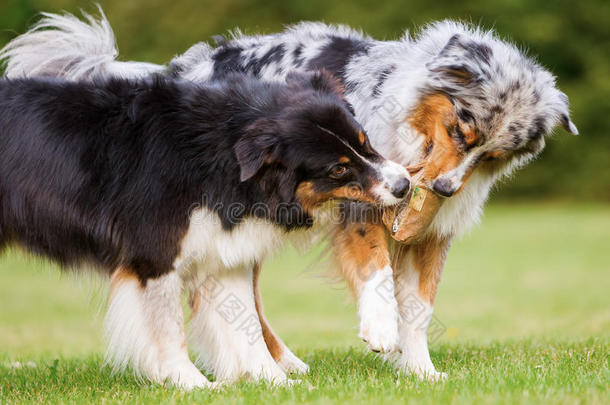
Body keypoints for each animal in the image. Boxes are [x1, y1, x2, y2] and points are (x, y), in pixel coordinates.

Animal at [0, 71, 408, 386]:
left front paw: (275, 383)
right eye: (338, 168)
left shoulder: (224, 250)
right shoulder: (155, 254)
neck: (218, 151)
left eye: (364, 142)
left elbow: (247, 323)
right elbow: (169, 329)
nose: (405, 185)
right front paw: (191, 384)